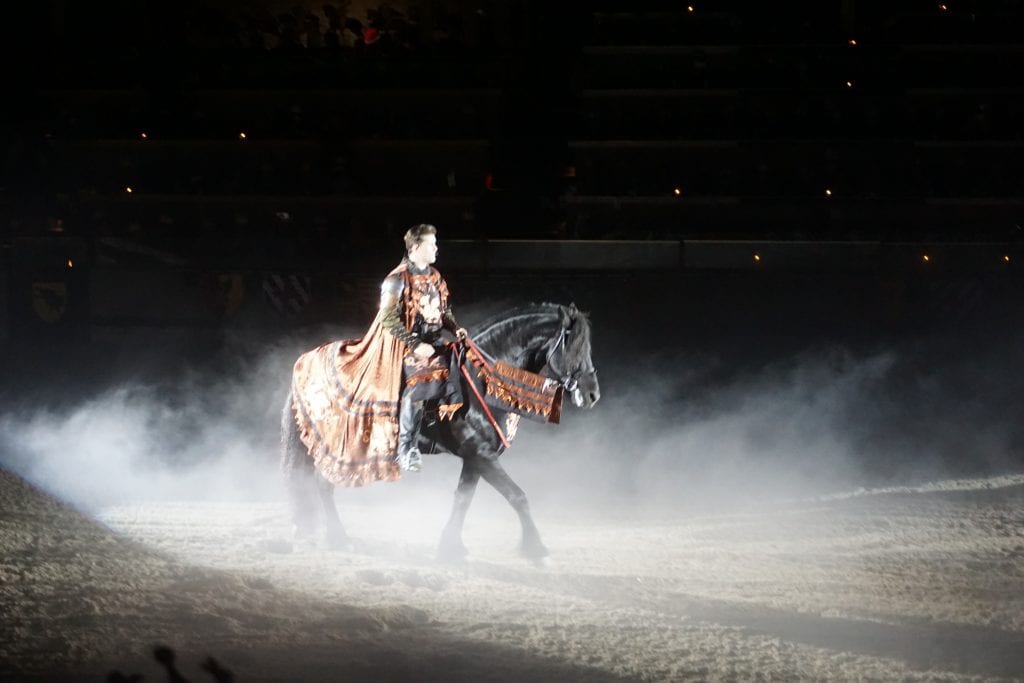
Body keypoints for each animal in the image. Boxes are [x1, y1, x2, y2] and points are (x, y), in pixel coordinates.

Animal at [280, 303, 598, 561]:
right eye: (575, 345)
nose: (592, 394)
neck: (478, 382)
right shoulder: (482, 456)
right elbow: (518, 496)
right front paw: (536, 549)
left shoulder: (475, 458)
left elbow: (463, 499)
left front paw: (451, 547)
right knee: (324, 484)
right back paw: (339, 539)